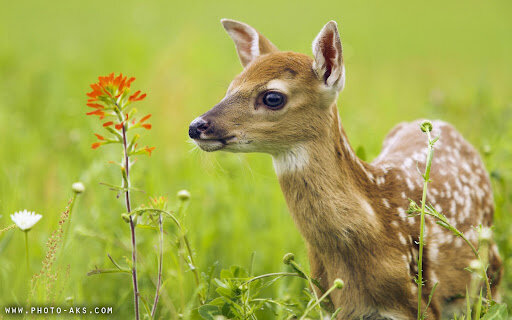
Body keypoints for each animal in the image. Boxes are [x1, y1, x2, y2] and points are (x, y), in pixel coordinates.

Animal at [188, 19, 500, 318]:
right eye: (232, 86)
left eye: (272, 97)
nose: (196, 126)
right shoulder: (328, 304)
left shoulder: (420, 302)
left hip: (491, 276)